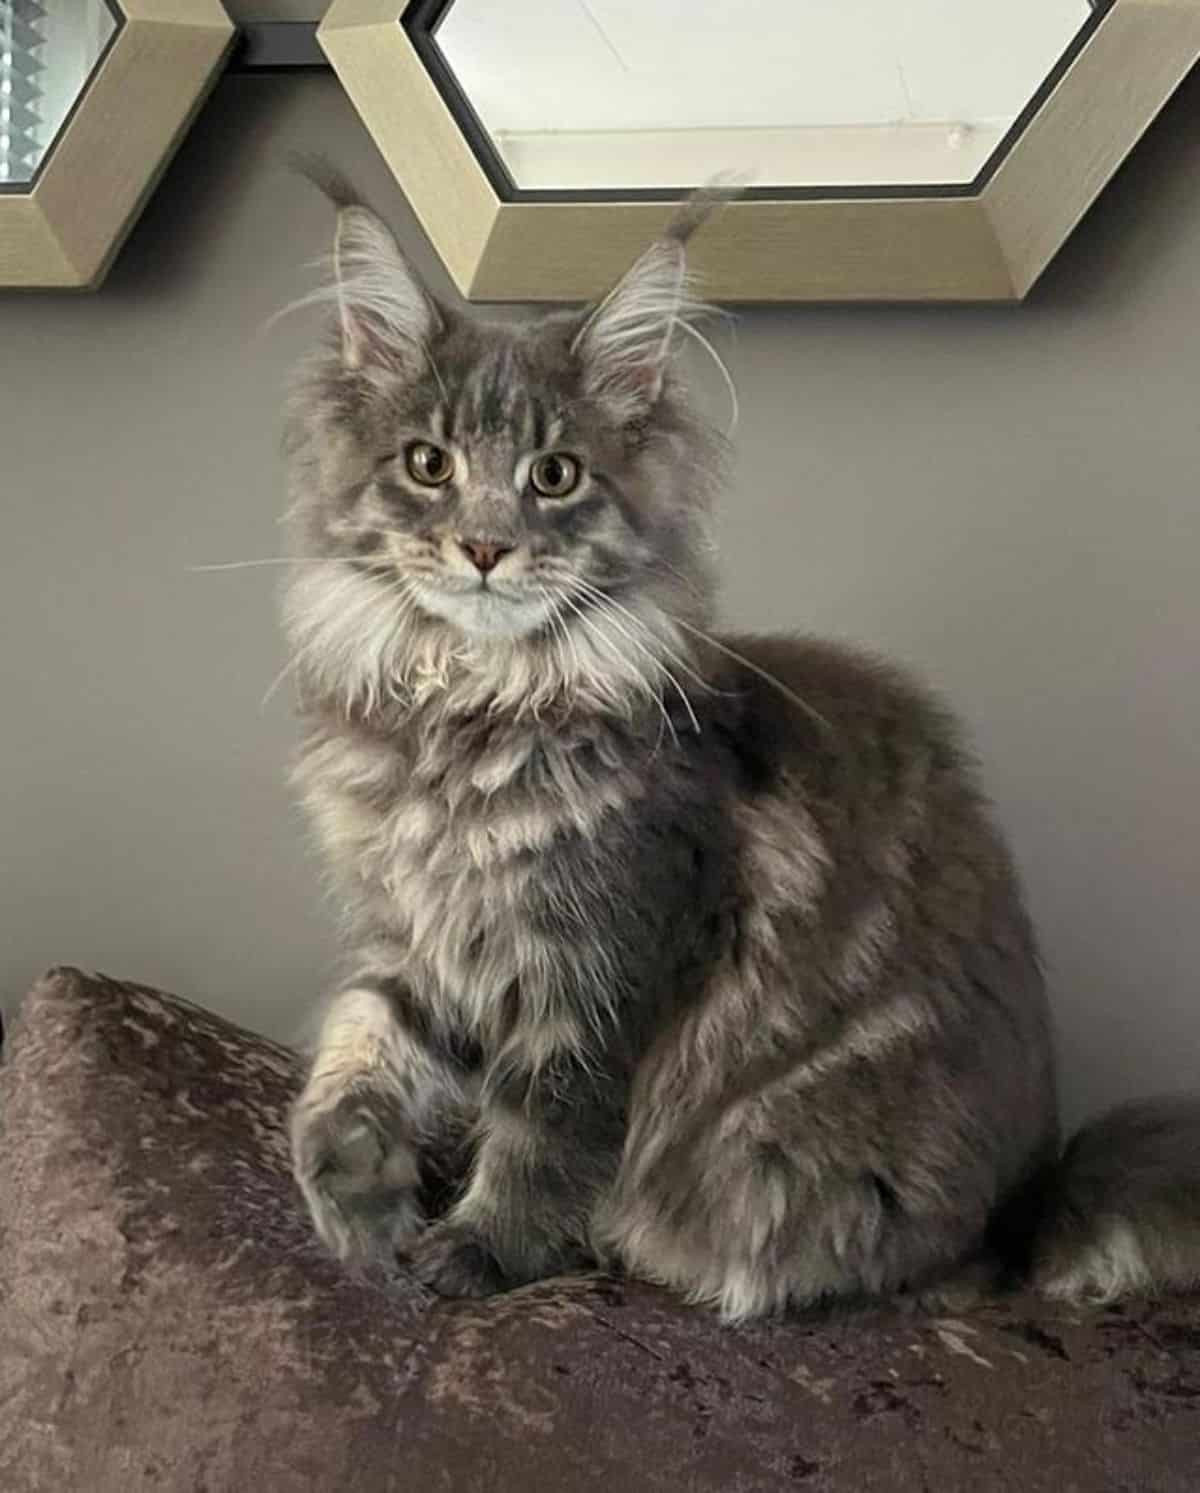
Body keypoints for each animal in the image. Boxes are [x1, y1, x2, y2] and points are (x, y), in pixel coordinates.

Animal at [283, 177, 1200, 1319]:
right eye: (427, 464)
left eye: (554, 475)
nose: (486, 547)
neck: (469, 709)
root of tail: (1021, 1212)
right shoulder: (416, 934)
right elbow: (359, 1035)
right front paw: (350, 1184)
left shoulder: (602, 966)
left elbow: (546, 1132)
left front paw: (479, 1252)